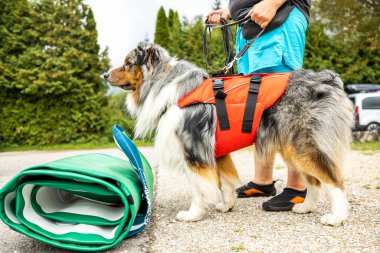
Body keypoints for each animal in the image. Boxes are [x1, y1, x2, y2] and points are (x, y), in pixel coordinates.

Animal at [103, 41, 354, 225]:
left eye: (127, 63)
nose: (104, 75)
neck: (164, 85)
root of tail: (328, 79)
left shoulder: (193, 149)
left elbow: (198, 187)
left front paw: (193, 214)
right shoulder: (216, 151)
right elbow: (224, 181)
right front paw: (227, 205)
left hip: (304, 145)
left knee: (334, 181)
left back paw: (336, 217)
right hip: (292, 146)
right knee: (314, 181)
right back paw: (306, 207)